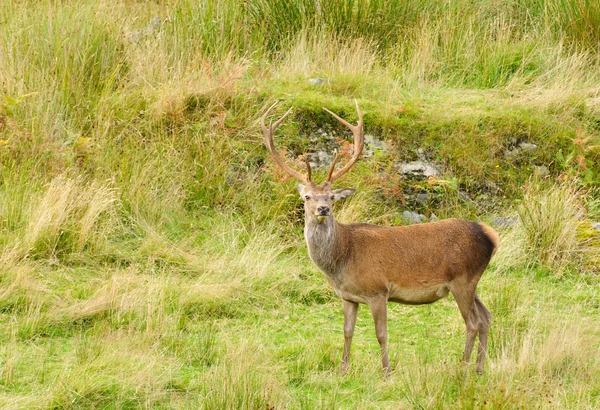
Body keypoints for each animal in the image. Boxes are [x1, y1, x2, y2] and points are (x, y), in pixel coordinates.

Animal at [260, 100, 500, 374]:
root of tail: (491, 235)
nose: (323, 209)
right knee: (486, 317)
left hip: (463, 279)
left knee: (473, 322)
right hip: (472, 281)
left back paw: (463, 366)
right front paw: (343, 368)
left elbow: (381, 334)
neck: (342, 258)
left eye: (331, 197)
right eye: (307, 197)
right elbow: (347, 331)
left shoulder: (378, 290)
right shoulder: (348, 296)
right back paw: (479, 368)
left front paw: (386, 371)